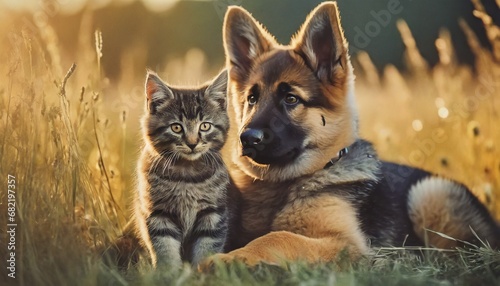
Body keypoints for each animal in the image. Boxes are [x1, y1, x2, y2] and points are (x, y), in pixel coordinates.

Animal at [136, 70, 231, 268]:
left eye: (205, 126)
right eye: (176, 127)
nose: (192, 143)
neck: (187, 175)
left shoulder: (213, 213)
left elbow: (206, 247)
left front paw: (202, 270)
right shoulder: (157, 213)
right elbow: (164, 248)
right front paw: (169, 272)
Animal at [204, 1, 500, 266]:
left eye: (290, 99)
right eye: (251, 99)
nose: (247, 139)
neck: (286, 184)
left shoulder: (346, 245)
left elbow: (277, 237)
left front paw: (224, 261)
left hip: (428, 193)